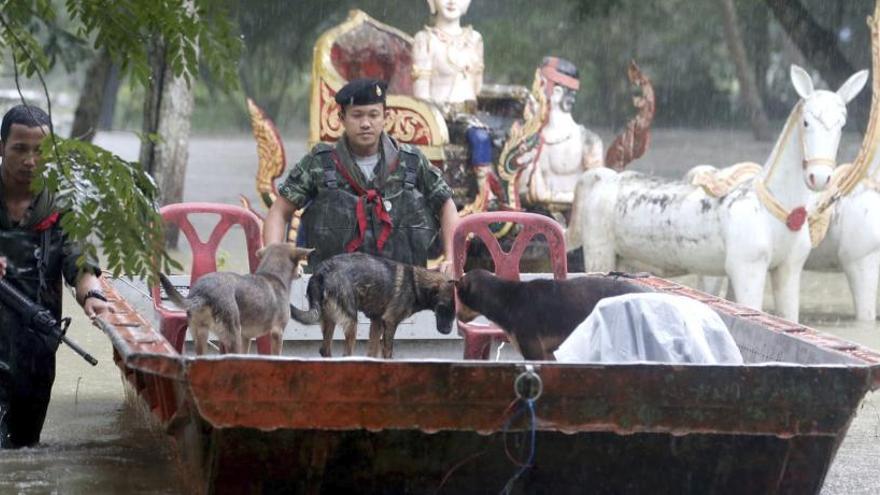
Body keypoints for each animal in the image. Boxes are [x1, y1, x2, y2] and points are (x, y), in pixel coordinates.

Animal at [292, 254, 464, 358]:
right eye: (442, 307)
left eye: (455, 311)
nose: (447, 331)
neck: (415, 283)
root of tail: (321, 272)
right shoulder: (390, 322)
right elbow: (388, 352)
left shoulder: (376, 322)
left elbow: (372, 352)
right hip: (351, 322)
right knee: (346, 354)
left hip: (330, 320)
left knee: (325, 350)